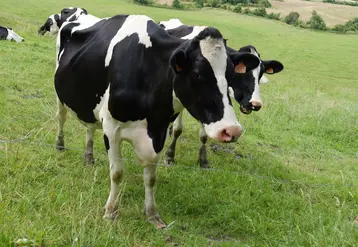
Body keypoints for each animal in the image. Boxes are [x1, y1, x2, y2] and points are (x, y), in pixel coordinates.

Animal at [158, 18, 284, 168]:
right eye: (242, 72)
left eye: (261, 74)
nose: (256, 103)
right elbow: (178, 129)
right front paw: (170, 156)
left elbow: (204, 135)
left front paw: (203, 160)